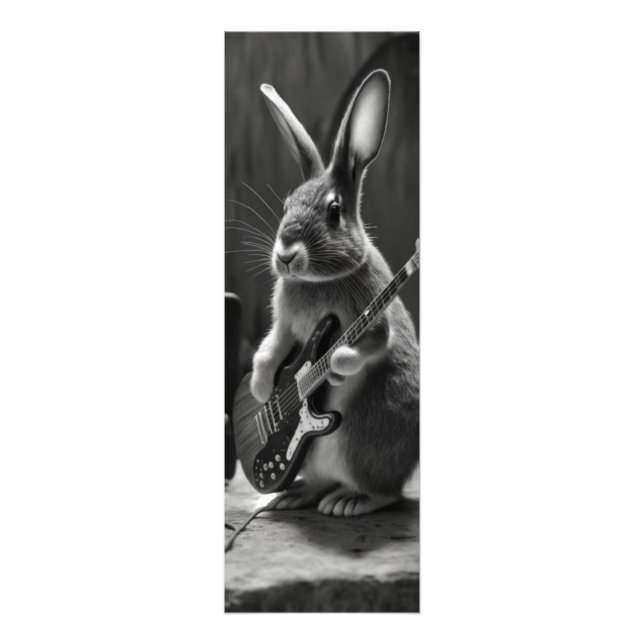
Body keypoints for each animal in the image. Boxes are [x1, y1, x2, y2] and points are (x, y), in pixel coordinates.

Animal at [249, 69, 419, 517]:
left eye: (334, 211)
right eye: (287, 204)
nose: (285, 256)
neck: (317, 281)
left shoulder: (371, 317)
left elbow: (363, 346)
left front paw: (338, 367)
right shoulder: (287, 327)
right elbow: (269, 351)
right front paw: (262, 393)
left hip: (360, 445)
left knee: (386, 493)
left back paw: (349, 502)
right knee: (316, 483)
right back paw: (290, 495)